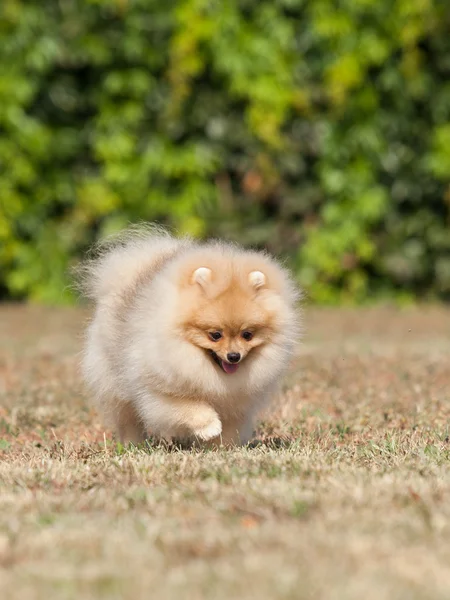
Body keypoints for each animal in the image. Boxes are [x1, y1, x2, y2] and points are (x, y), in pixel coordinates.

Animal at [79, 225, 300, 446]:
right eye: (215, 335)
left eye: (247, 334)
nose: (233, 356)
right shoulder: (157, 391)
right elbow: (188, 406)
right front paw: (210, 427)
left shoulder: (237, 404)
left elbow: (230, 427)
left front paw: (222, 447)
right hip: (114, 382)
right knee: (127, 418)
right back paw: (133, 443)